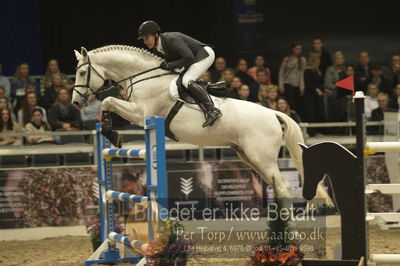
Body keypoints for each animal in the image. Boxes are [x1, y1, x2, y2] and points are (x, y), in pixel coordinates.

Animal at [71, 45, 332, 204]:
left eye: (83, 73)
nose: (75, 102)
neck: (142, 76)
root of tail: (273, 113)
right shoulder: (133, 112)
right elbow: (108, 106)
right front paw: (109, 131)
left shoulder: (141, 113)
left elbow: (108, 100)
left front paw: (111, 133)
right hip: (249, 156)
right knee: (276, 187)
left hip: (262, 157)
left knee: (284, 188)